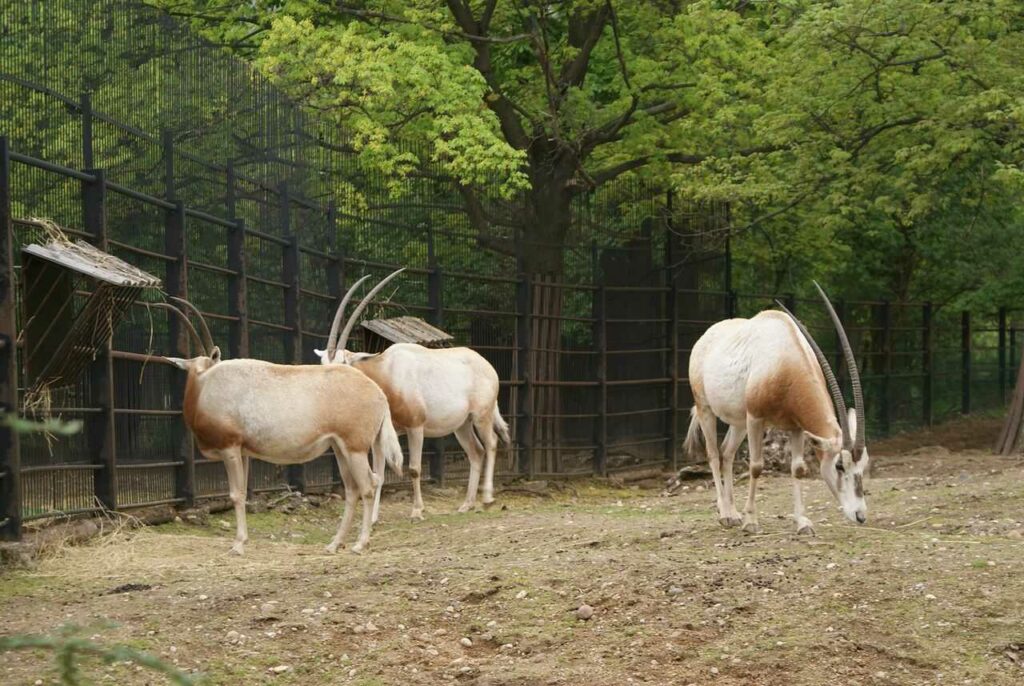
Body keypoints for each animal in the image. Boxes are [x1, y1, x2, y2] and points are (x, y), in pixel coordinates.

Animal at [157, 298, 401, 556]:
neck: (206, 383)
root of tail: (379, 394)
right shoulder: (243, 452)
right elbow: (242, 493)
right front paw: (243, 541)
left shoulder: (229, 448)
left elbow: (236, 494)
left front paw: (238, 545)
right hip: (340, 448)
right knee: (352, 489)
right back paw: (334, 544)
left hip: (355, 449)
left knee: (368, 485)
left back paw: (360, 544)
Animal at [307, 268, 507, 522]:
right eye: (322, 363)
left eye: (343, 363)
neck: (386, 374)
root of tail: (487, 366)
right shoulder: (380, 437)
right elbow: (379, 473)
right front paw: (373, 518)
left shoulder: (416, 427)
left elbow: (414, 469)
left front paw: (417, 511)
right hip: (462, 425)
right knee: (476, 452)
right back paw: (467, 504)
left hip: (482, 416)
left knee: (491, 444)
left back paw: (487, 498)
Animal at [684, 284, 868, 536]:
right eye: (840, 465)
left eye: (865, 464)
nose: (860, 516)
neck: (785, 361)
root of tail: (705, 338)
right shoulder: (756, 418)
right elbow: (756, 466)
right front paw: (751, 521)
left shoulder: (796, 427)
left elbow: (798, 468)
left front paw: (802, 523)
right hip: (706, 409)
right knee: (713, 454)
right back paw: (725, 515)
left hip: (739, 422)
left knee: (727, 453)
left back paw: (733, 512)